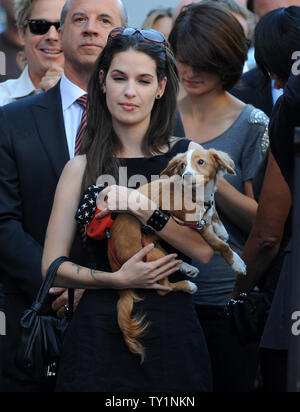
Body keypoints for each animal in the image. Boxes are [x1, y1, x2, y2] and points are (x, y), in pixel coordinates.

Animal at [107, 146, 246, 360]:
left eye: (201, 162)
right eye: (181, 165)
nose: (186, 175)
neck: (197, 195)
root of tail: (116, 269)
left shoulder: (205, 215)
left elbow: (214, 212)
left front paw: (221, 228)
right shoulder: (199, 228)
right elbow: (222, 247)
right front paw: (237, 263)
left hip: (156, 245)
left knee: (169, 262)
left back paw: (187, 268)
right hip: (151, 256)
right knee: (163, 288)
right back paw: (187, 285)